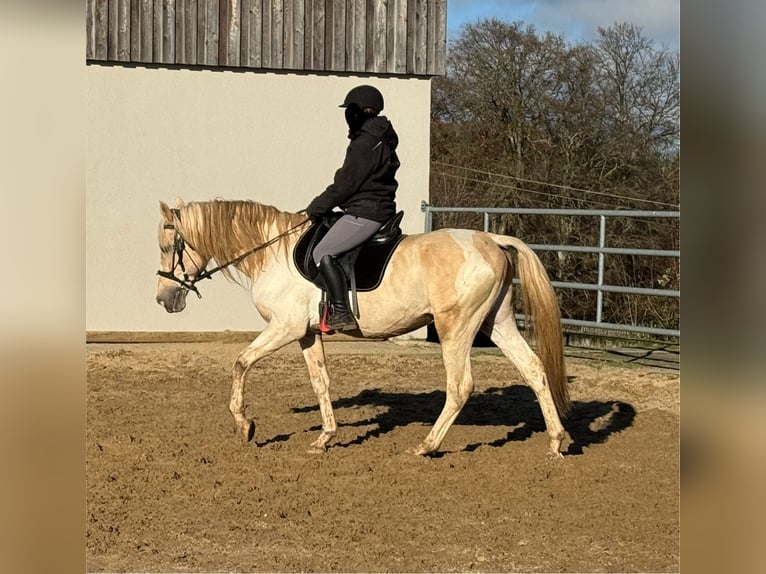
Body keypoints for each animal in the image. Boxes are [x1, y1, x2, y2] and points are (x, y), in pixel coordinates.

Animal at [156, 198, 572, 460]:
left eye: (166, 246)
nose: (164, 299)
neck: (272, 253)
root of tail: (490, 240)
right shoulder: (307, 333)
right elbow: (320, 382)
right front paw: (325, 438)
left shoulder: (285, 327)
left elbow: (241, 363)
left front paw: (246, 426)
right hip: (496, 322)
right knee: (534, 369)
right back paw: (556, 442)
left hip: (456, 328)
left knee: (460, 387)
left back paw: (426, 446)